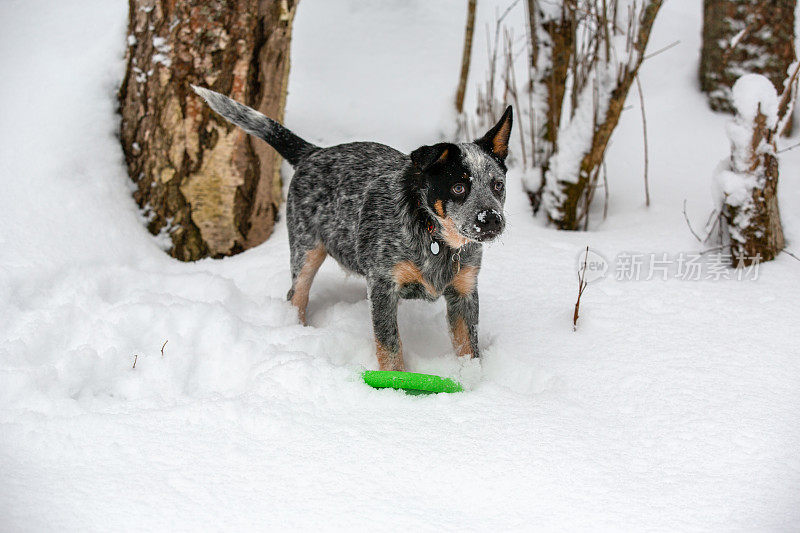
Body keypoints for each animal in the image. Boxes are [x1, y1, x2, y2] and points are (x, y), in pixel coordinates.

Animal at [192, 86, 512, 370]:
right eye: (458, 188)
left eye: (497, 185)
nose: (491, 218)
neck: (436, 238)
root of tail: (313, 153)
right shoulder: (383, 287)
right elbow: (390, 348)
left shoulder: (464, 292)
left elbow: (469, 349)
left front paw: (471, 383)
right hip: (306, 250)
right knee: (296, 296)